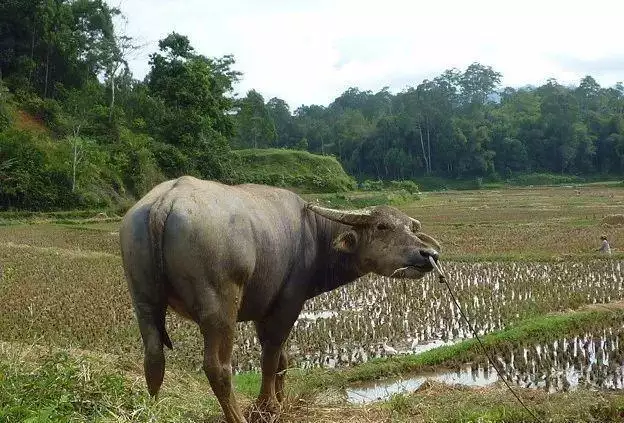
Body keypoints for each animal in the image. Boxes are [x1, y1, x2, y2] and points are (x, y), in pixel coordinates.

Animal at [118, 176, 438, 423]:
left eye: (410, 228)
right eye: (382, 227)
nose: (429, 254)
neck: (314, 236)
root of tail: (166, 202)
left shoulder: (265, 309)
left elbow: (282, 357)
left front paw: (281, 401)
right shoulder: (287, 304)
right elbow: (271, 357)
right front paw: (267, 407)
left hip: (143, 300)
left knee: (153, 359)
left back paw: (154, 411)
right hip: (219, 307)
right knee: (217, 367)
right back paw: (238, 417)